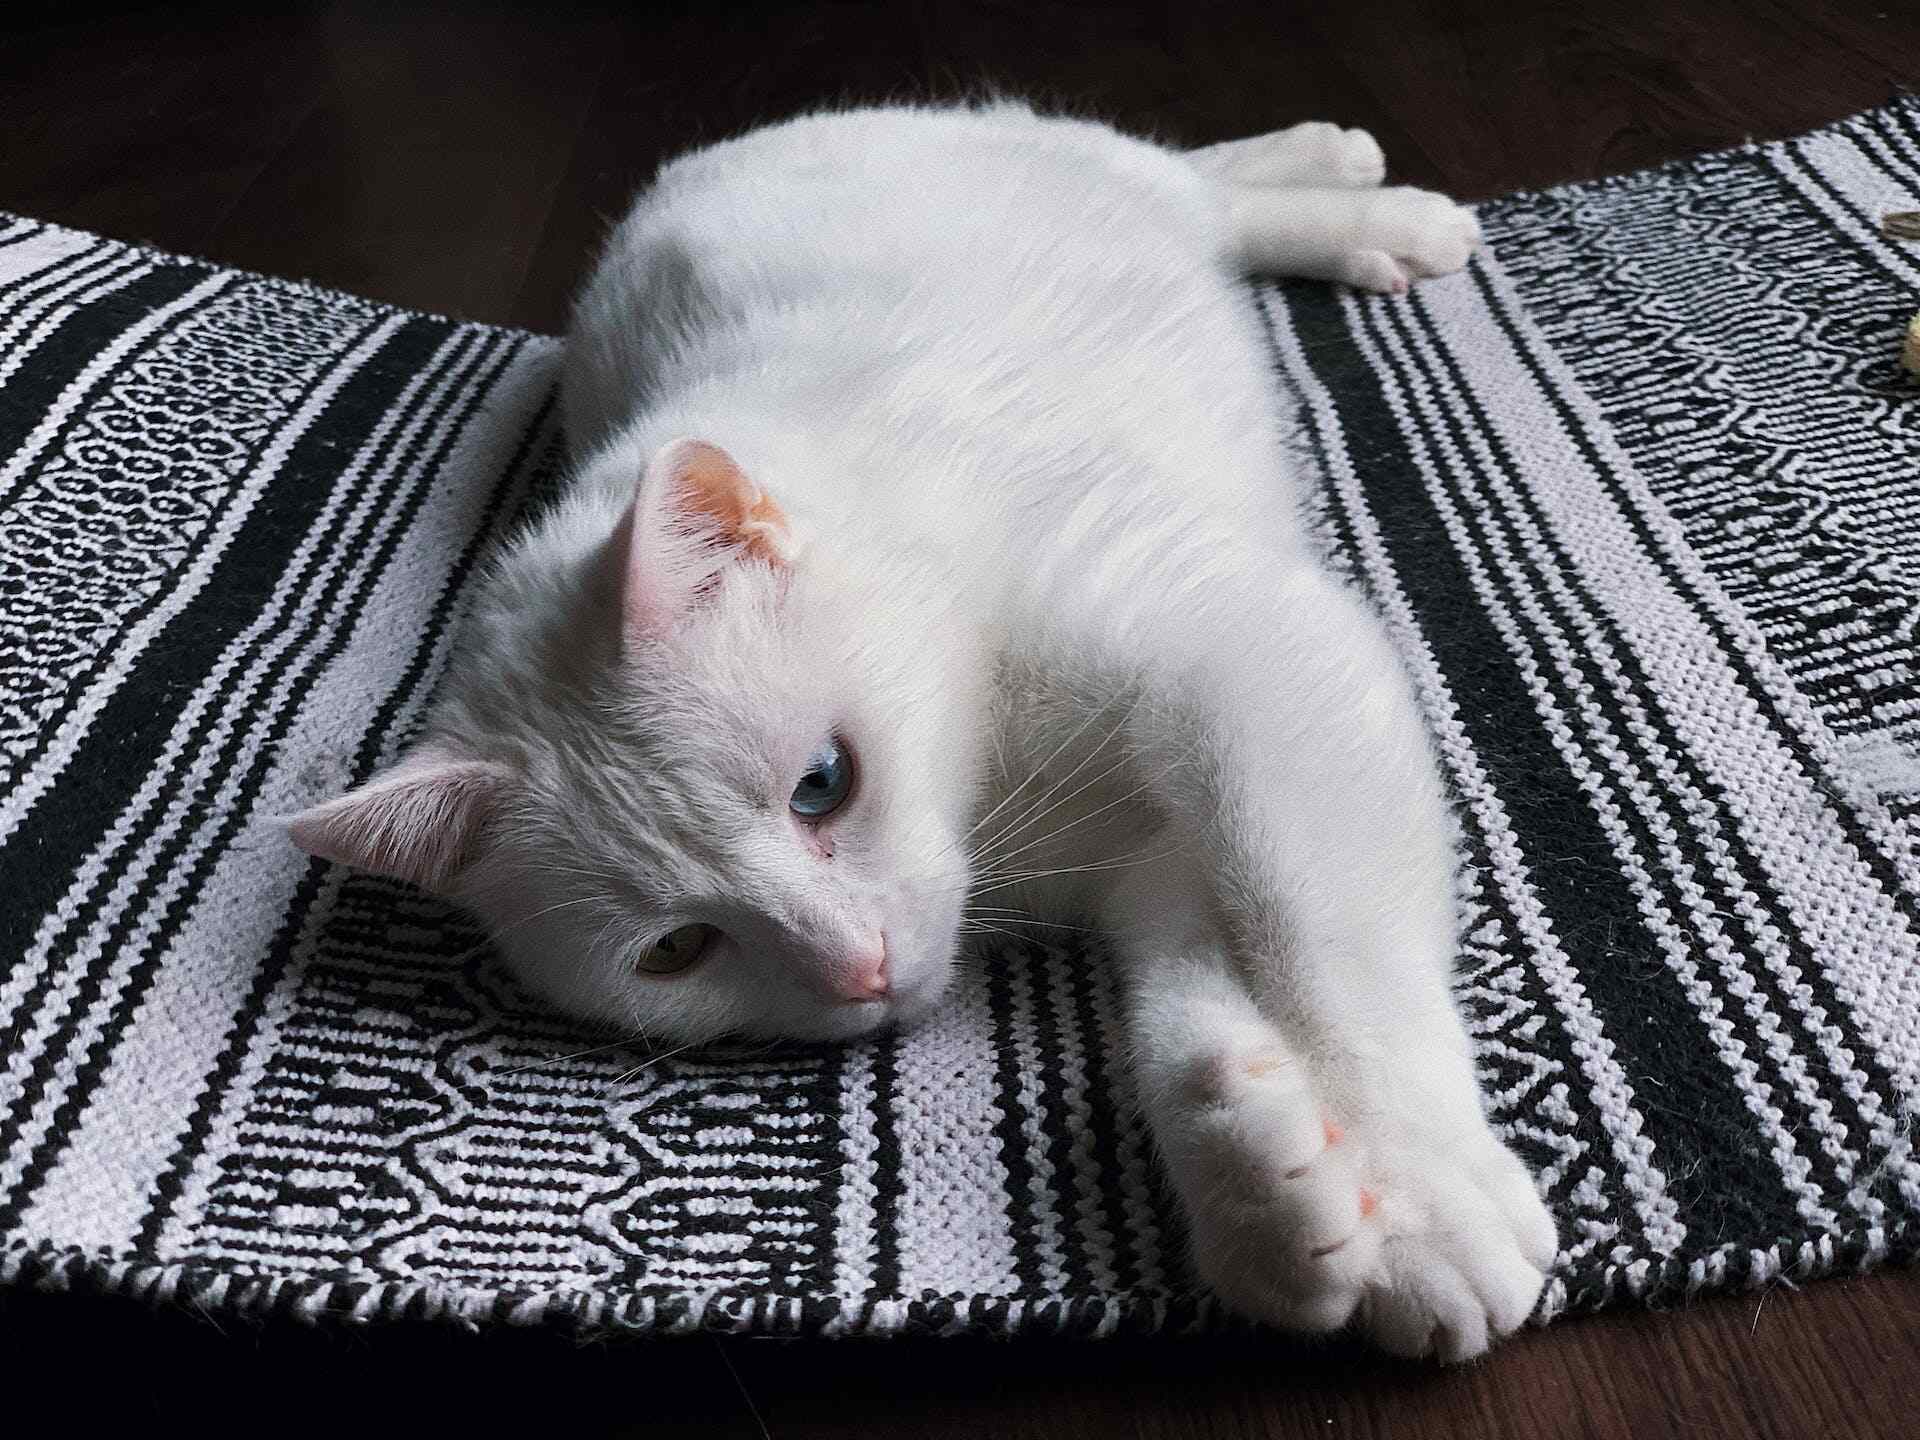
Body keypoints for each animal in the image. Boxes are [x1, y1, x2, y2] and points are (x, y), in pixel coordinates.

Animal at [295, 104, 1559, 1367]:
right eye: (677, 951)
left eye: (823, 784)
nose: (859, 968)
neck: (986, 771)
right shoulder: (1148, 860)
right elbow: (1190, 1001)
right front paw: (1271, 1190)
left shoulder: (1250, 652)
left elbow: (1322, 939)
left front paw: (1422, 1191)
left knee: (1194, 182)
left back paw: (1368, 196)